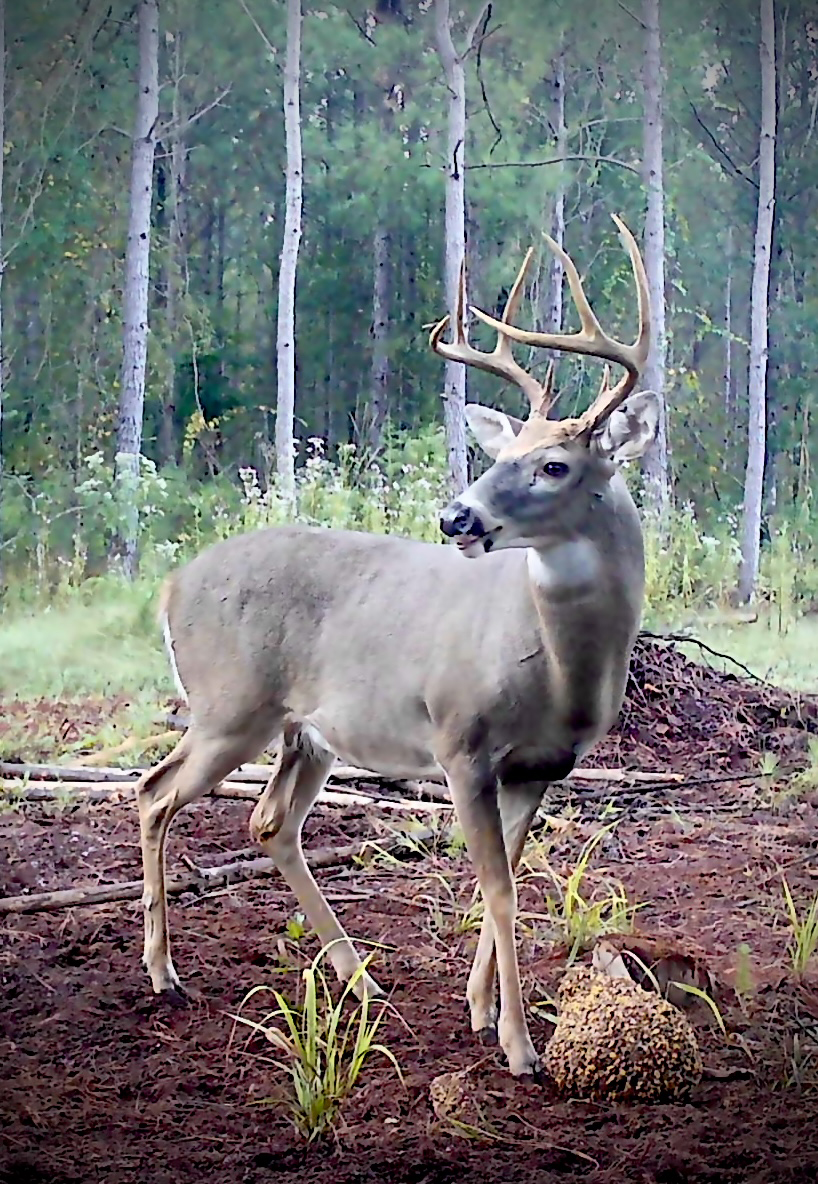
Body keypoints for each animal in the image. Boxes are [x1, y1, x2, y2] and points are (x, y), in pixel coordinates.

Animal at [135, 214, 658, 1079]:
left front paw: (481, 1010)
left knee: (270, 822)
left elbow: (505, 878)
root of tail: (170, 587)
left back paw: (360, 978)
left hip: (305, 730)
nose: (457, 517)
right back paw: (163, 971)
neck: (559, 672)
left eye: (554, 464)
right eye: (497, 455)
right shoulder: (460, 740)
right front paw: (520, 1047)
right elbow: (498, 888)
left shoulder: (540, 768)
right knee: (153, 791)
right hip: (229, 706)